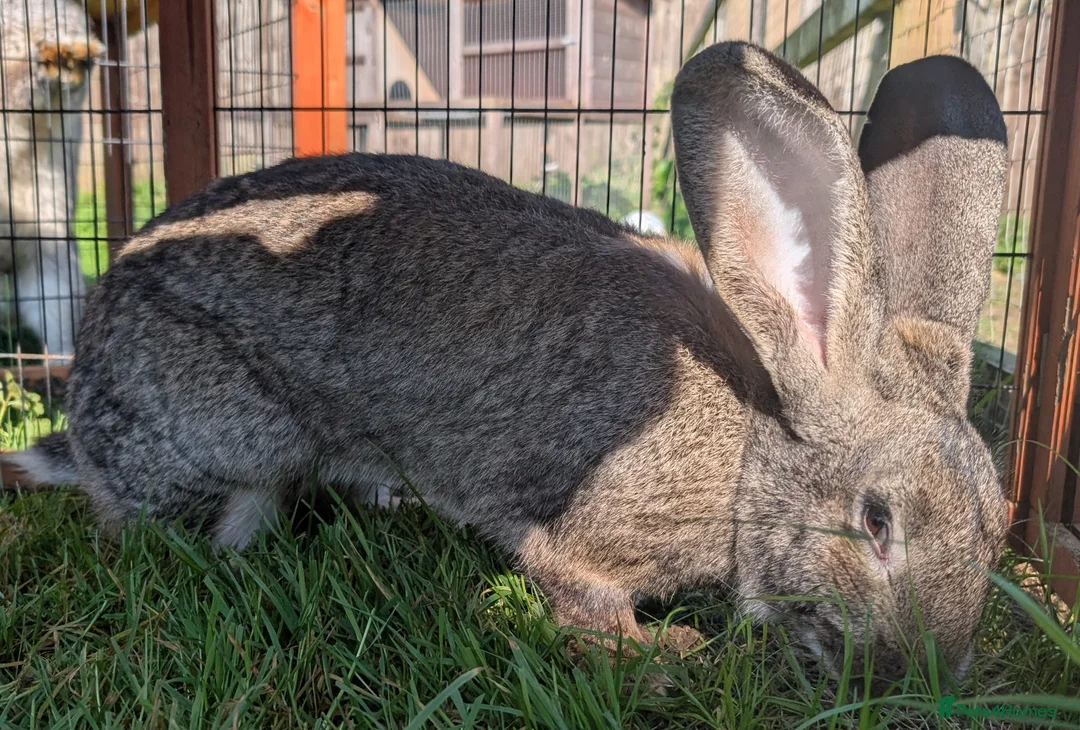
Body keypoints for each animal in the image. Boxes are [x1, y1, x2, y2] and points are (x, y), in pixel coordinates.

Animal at [3, 42, 1010, 683]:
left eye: (1000, 525)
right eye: (876, 522)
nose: (930, 673)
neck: (752, 455)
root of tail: (84, 397)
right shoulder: (579, 524)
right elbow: (577, 587)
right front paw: (658, 656)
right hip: (229, 450)